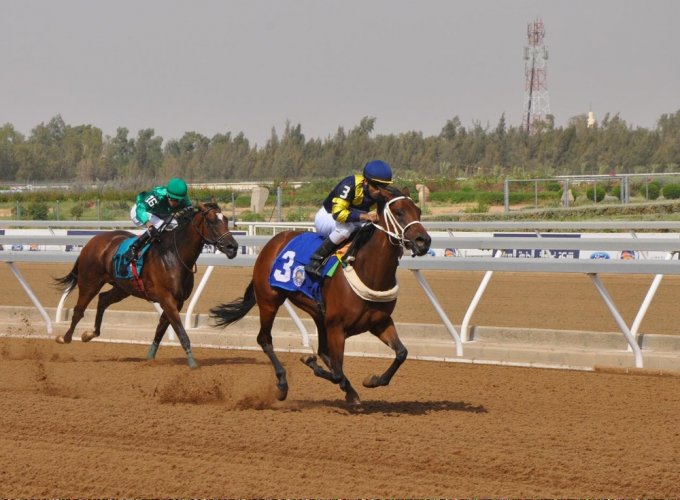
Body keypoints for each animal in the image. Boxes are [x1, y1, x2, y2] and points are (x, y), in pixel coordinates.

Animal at [53, 201, 239, 370]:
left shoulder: (177, 301)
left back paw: (90, 334)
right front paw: (192, 363)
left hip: (123, 287)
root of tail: (92, 241)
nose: (233, 247)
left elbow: (161, 328)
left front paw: (150, 356)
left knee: (103, 299)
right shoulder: (167, 299)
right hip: (89, 282)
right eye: (211, 221)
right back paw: (65, 338)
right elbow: (180, 332)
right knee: (79, 310)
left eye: (226, 220)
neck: (174, 255)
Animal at [211, 186, 430, 404]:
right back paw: (282, 384)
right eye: (399, 212)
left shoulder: (379, 322)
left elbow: (401, 353)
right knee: (264, 339)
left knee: (323, 351)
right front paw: (308, 361)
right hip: (269, 301)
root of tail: (273, 242)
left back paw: (348, 390)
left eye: (418, 211)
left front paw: (372, 380)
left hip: (318, 314)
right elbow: (337, 373)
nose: (424, 241)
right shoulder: (337, 328)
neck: (367, 271)